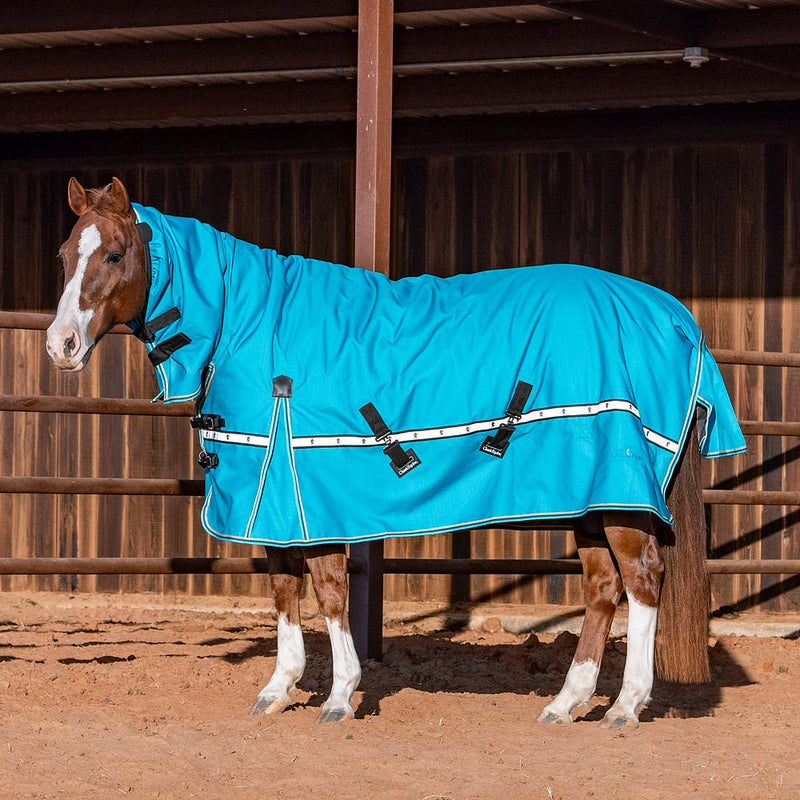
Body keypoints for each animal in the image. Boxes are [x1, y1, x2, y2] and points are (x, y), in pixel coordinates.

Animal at [46, 177, 745, 727]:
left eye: (114, 253)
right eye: (63, 255)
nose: (60, 345)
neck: (249, 323)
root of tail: (672, 314)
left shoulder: (308, 497)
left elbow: (329, 592)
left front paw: (339, 697)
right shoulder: (277, 506)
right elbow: (283, 590)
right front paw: (278, 690)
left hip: (621, 500)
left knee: (642, 582)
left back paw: (625, 707)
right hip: (591, 501)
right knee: (603, 588)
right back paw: (566, 703)